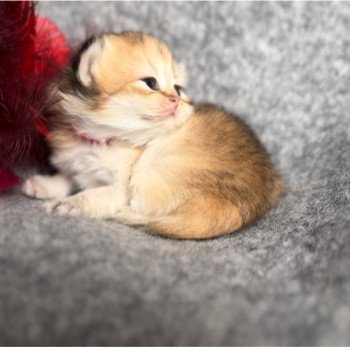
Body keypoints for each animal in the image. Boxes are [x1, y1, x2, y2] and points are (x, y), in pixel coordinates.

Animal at [21, 31, 284, 239]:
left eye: (177, 88)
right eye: (150, 83)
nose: (177, 99)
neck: (103, 141)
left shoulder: (122, 189)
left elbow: (95, 194)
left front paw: (69, 204)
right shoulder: (78, 163)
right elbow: (69, 178)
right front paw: (44, 185)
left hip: (150, 175)